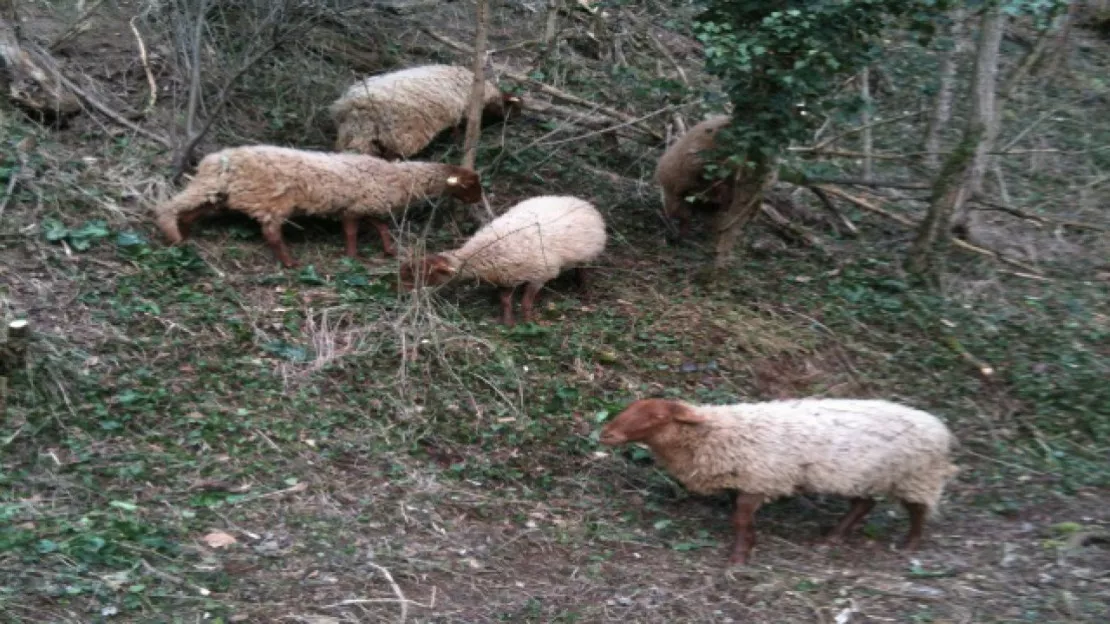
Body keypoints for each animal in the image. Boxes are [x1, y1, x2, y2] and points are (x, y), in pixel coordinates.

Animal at [152, 144, 481, 266]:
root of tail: (215, 159)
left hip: (222, 193)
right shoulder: (355, 207)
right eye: (469, 185)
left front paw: (388, 250)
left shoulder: (363, 205)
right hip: (271, 200)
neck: (398, 177)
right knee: (270, 232)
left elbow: (380, 226)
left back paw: (183, 233)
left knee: (196, 208)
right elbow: (352, 232)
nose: (479, 200)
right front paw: (352, 257)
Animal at [326, 63, 521, 158]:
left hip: (352, 133)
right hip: (401, 136)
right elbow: (459, 129)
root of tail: (353, 105)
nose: (517, 120)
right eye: (514, 108)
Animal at [399, 195, 608, 326]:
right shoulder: (506, 276)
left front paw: (528, 322)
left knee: (583, 270)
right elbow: (505, 299)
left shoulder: (540, 274)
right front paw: (509, 322)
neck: (485, 252)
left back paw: (584, 290)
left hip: (586, 254)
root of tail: (578, 200)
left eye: (424, 274)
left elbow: (525, 302)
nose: (403, 292)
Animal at [603, 397, 959, 564]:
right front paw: (750, 543)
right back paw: (831, 538)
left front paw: (739, 557)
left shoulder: (760, 478)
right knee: (864, 503)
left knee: (917, 511)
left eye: (656, 416)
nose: (607, 433)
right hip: (863, 475)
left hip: (915, 476)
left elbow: (740, 519)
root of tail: (940, 428)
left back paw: (909, 544)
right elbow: (741, 516)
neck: (714, 433)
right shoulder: (745, 480)